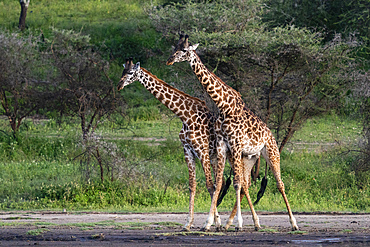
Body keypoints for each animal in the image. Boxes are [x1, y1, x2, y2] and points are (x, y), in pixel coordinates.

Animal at [118, 58, 223, 232]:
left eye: (131, 72)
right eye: (122, 71)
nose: (119, 85)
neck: (185, 116)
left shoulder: (202, 150)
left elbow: (209, 185)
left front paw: (210, 224)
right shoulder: (187, 150)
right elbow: (192, 185)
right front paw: (188, 223)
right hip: (215, 156)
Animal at [166, 34, 300, 232]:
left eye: (183, 50)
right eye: (174, 47)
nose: (169, 60)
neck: (224, 105)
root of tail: (270, 134)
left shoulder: (235, 144)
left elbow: (235, 183)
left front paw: (238, 224)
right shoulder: (223, 145)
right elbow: (220, 184)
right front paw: (209, 223)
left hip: (271, 153)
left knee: (279, 184)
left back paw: (293, 223)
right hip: (251, 157)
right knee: (247, 183)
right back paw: (243, 222)